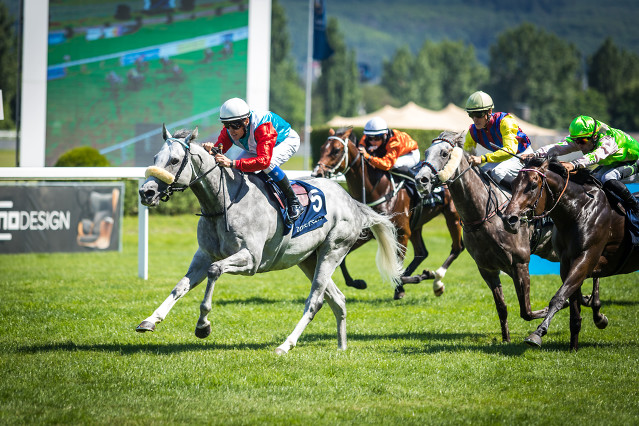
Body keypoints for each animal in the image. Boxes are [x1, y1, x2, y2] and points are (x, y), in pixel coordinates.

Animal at [138, 125, 402, 354]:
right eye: (155, 157)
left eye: (174, 160)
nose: (146, 192)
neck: (223, 203)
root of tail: (352, 201)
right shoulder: (204, 254)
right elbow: (180, 286)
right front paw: (150, 320)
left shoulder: (251, 260)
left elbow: (214, 271)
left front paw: (203, 326)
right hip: (308, 259)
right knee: (337, 299)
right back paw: (341, 347)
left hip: (332, 250)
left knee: (315, 301)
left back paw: (286, 345)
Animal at [312, 126, 464, 300]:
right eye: (322, 148)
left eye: (336, 150)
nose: (317, 173)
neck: (378, 189)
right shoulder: (367, 232)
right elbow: (342, 261)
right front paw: (358, 283)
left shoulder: (402, 232)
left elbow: (398, 268)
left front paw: (417, 278)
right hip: (417, 225)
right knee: (421, 253)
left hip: (452, 216)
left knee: (457, 247)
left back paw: (435, 281)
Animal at [502, 156, 636, 350]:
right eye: (512, 184)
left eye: (533, 185)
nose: (508, 219)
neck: (579, 210)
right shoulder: (566, 262)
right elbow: (574, 308)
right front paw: (573, 346)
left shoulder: (586, 256)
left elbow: (559, 297)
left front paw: (537, 333)